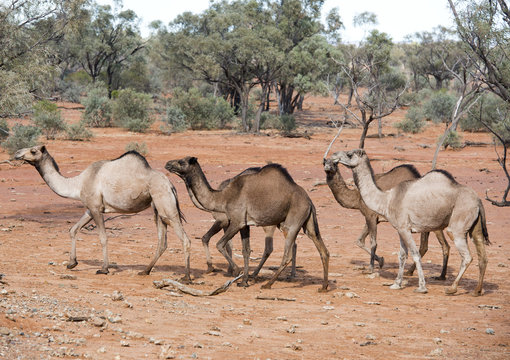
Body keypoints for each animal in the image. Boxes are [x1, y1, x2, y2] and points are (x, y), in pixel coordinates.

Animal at [14, 145, 193, 280]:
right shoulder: (89, 208)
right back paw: (145, 271)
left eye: (33, 150)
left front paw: (104, 268)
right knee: (162, 241)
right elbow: (73, 230)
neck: (78, 183)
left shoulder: (95, 208)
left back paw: (186, 277)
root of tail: (171, 185)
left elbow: (103, 238)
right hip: (157, 208)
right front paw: (72, 263)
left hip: (165, 203)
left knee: (185, 239)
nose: (17, 153)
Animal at [165, 156, 328, 292]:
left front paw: (236, 271)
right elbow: (246, 251)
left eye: (181, 161)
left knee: (286, 254)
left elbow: (220, 244)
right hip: (307, 223)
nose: (167, 163)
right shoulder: (245, 224)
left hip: (292, 222)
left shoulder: (236, 221)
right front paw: (244, 281)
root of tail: (309, 201)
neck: (222, 197)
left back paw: (268, 284)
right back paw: (324, 287)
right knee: (323, 250)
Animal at [330, 149, 490, 296]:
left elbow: (415, 254)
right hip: (475, 227)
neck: (387, 200)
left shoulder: (404, 228)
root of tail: (478, 201)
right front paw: (396, 283)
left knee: (466, 256)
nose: (333, 156)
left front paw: (421, 287)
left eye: (350, 154)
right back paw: (477, 290)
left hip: (457, 226)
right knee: (482, 256)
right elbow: (402, 255)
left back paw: (452, 288)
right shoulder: (400, 229)